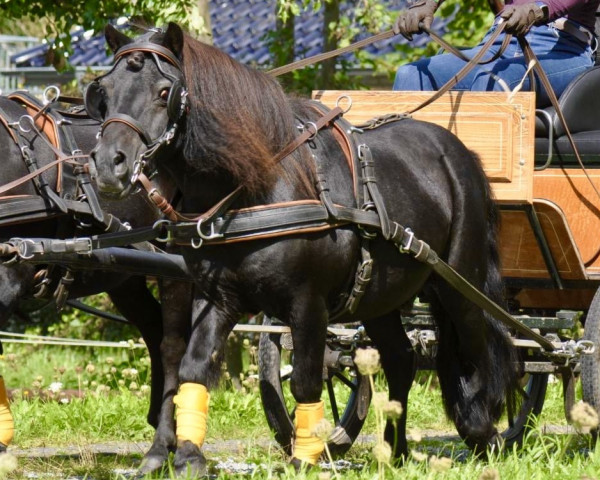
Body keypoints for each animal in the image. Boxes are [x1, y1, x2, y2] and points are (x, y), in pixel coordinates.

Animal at [90, 23, 520, 476]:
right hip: (381, 295)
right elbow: (194, 366)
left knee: (481, 348)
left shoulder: (307, 303)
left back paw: (484, 431)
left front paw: (303, 458)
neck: (255, 187)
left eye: (163, 91)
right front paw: (189, 456)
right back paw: (393, 450)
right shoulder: (217, 298)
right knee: (401, 358)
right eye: (105, 90)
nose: (108, 164)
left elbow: (306, 380)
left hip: (459, 282)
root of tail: (459, 152)